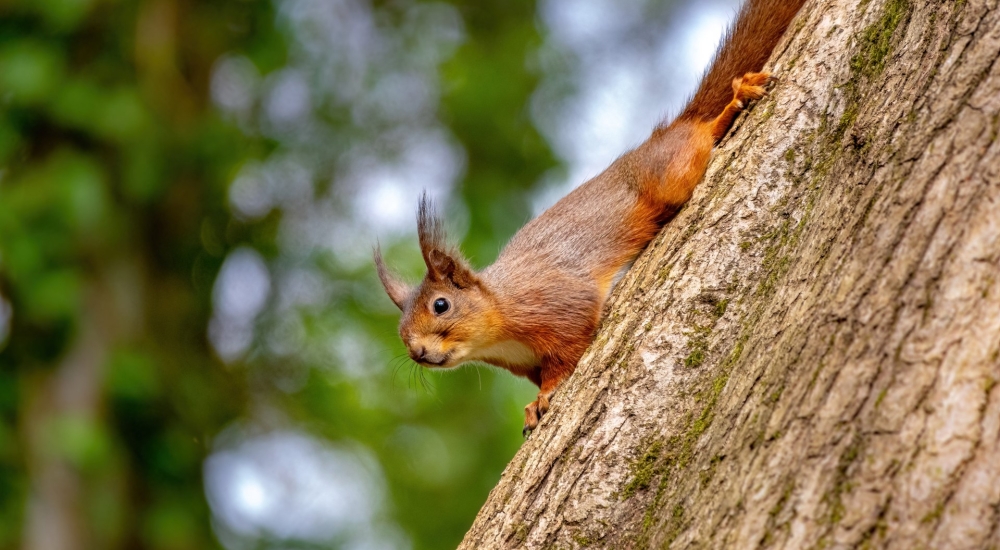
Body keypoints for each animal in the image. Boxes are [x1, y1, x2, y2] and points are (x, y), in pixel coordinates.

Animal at [376, 0, 804, 438]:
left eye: (441, 305)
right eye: (401, 331)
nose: (417, 352)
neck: (498, 317)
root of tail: (666, 134)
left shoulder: (557, 304)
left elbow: (567, 351)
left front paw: (544, 397)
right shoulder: (522, 359)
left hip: (670, 173)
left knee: (700, 136)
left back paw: (733, 103)